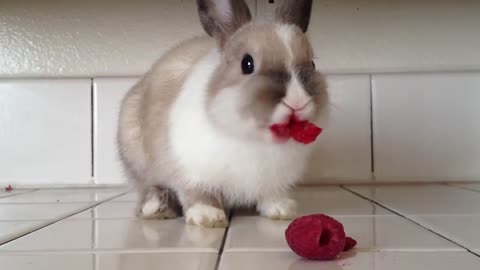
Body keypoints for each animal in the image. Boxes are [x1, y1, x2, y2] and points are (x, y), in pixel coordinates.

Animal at [117, 0, 326, 228]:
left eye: (313, 64)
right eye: (247, 64)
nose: (298, 102)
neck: (252, 138)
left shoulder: (274, 180)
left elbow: (271, 194)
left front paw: (281, 210)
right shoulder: (191, 170)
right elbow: (199, 194)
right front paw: (208, 216)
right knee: (147, 187)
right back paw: (155, 207)